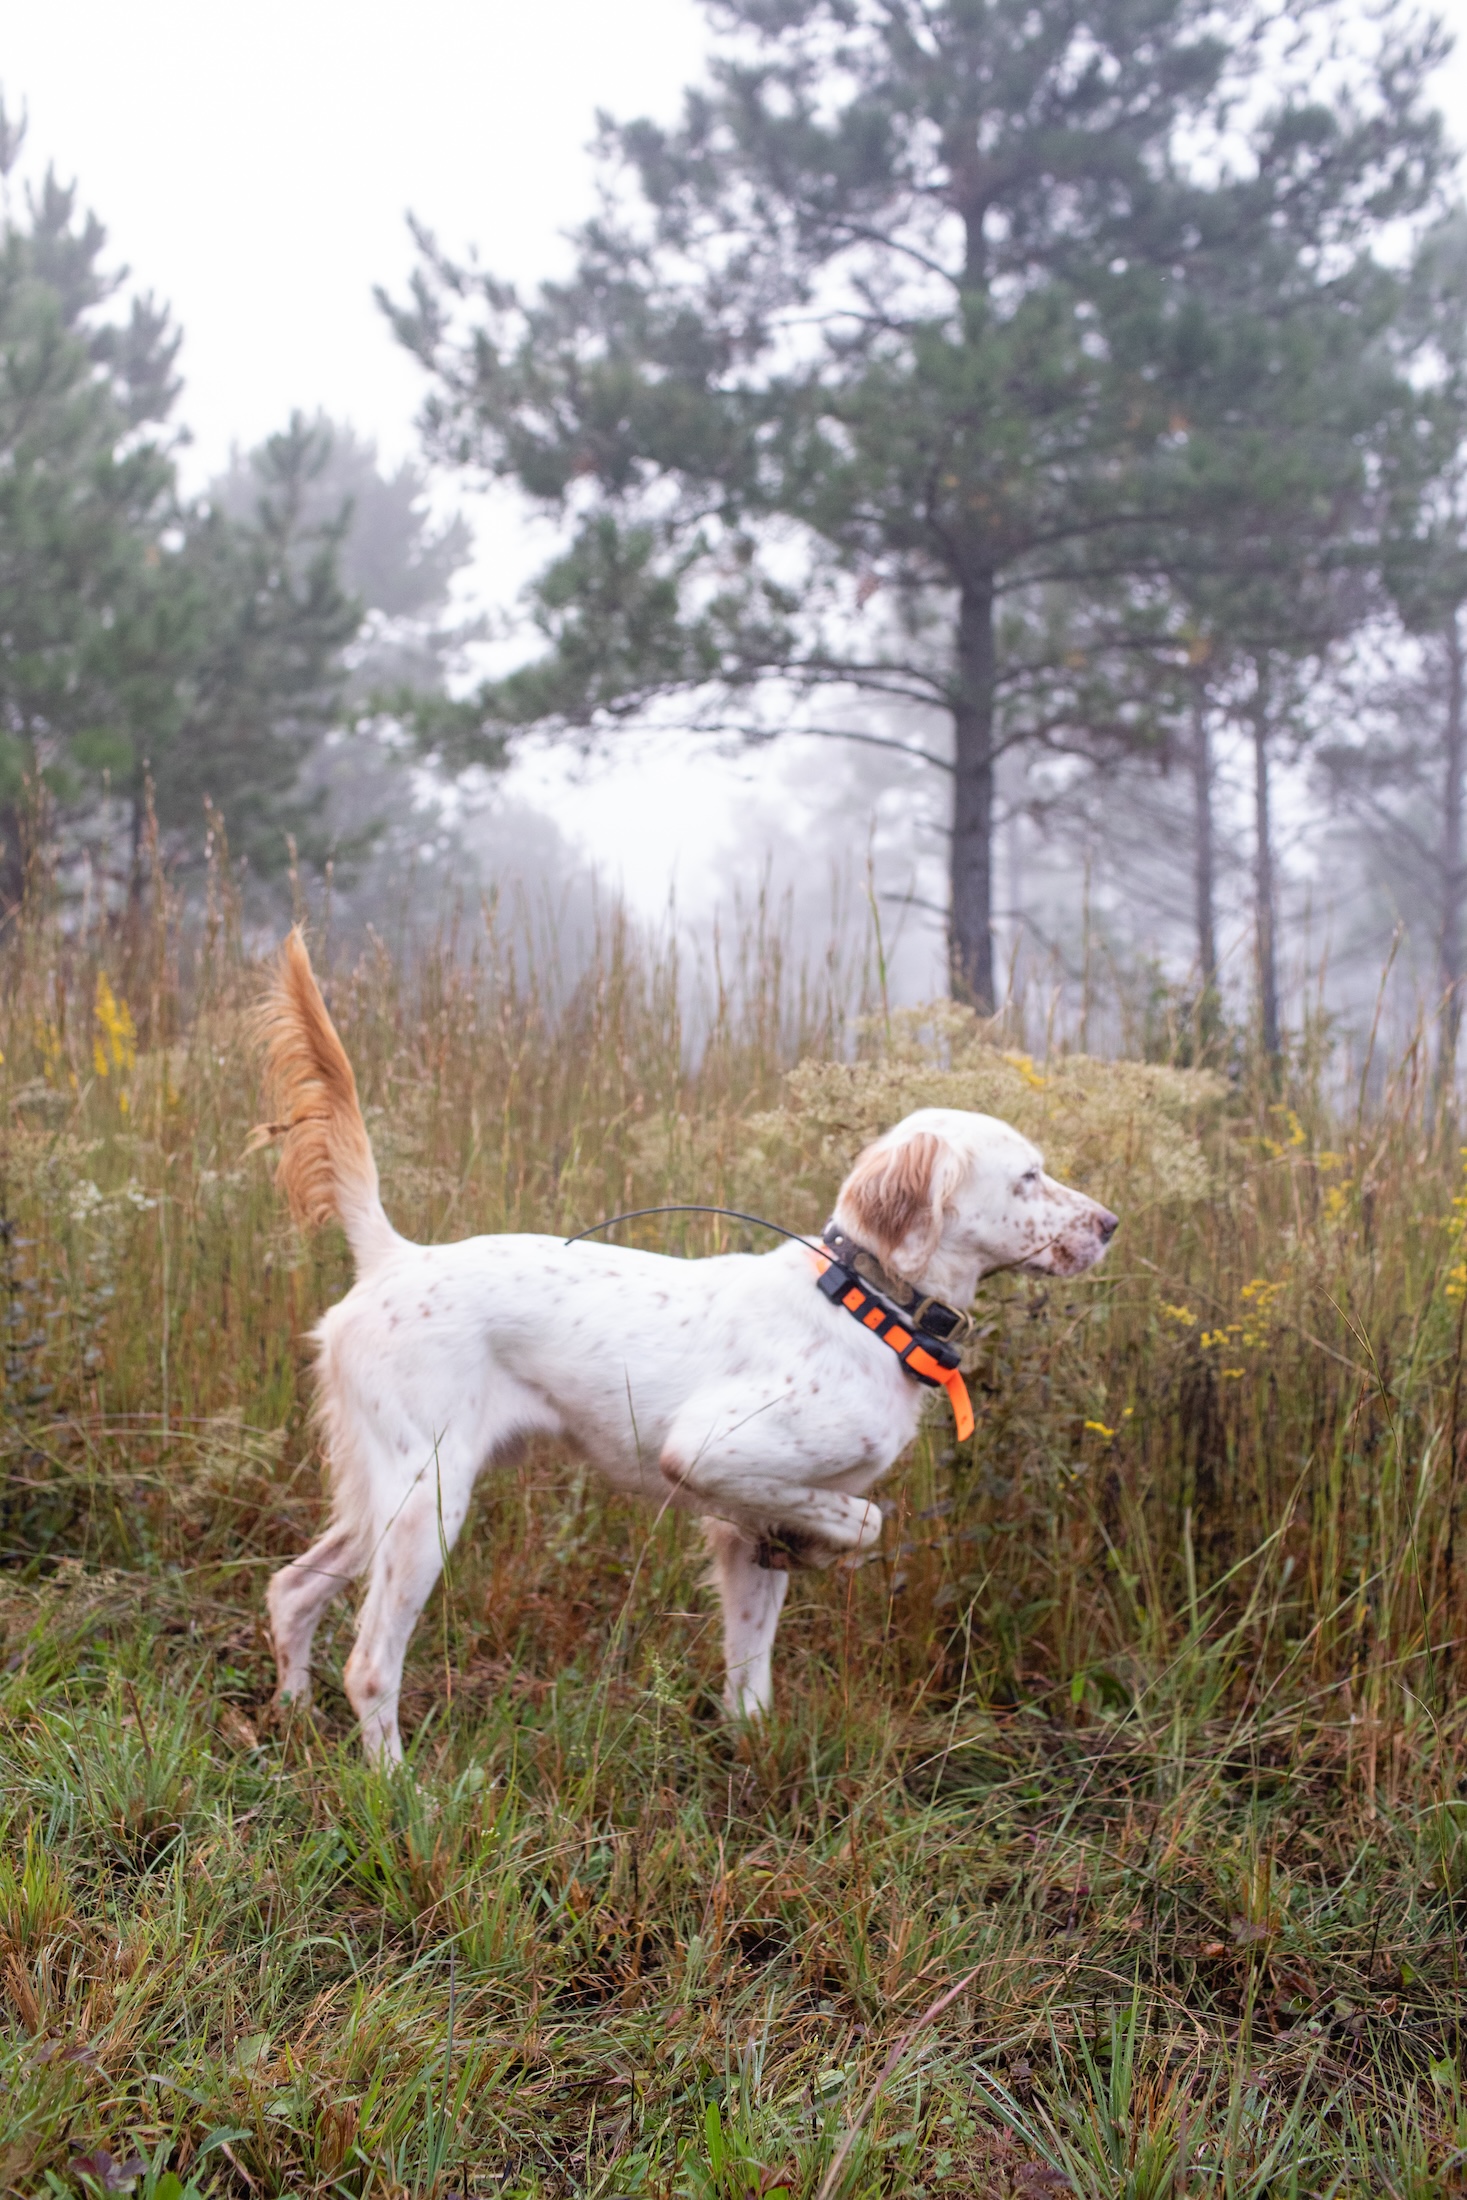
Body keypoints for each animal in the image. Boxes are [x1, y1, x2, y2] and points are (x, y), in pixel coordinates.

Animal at [255, 932, 1126, 1768]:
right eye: (1027, 1177)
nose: (1110, 1223)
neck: (863, 1307)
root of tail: (394, 1256)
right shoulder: (711, 1453)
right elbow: (864, 1518)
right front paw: (823, 1543)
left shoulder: (746, 1538)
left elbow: (750, 1677)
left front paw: (754, 1757)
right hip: (428, 1497)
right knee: (369, 1663)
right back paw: (399, 1787)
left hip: (386, 1492)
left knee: (291, 1589)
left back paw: (291, 1719)